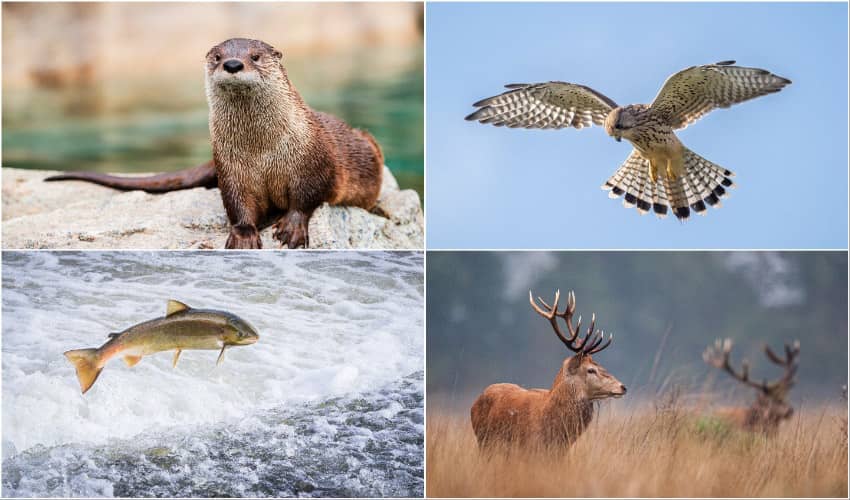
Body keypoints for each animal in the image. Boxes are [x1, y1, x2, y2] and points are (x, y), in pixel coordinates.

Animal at [46, 38, 384, 249]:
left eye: (255, 57)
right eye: (218, 58)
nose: (233, 64)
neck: (262, 151)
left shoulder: (313, 160)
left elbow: (307, 197)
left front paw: (291, 227)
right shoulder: (230, 168)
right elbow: (237, 203)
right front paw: (245, 235)